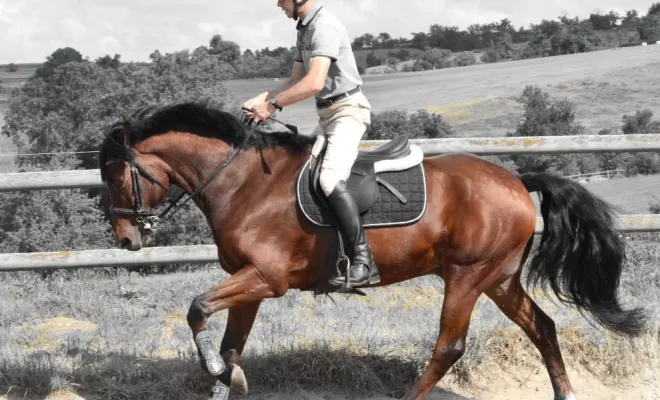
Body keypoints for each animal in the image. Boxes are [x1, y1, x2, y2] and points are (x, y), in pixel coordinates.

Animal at [98, 103, 644, 400]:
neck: (243, 183)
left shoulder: (266, 278)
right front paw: (224, 376)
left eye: (116, 174)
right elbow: (229, 343)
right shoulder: (248, 282)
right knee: (543, 327)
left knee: (450, 346)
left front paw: (216, 370)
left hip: (467, 276)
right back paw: (564, 390)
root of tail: (515, 178)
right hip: (499, 279)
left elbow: (195, 310)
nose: (126, 239)